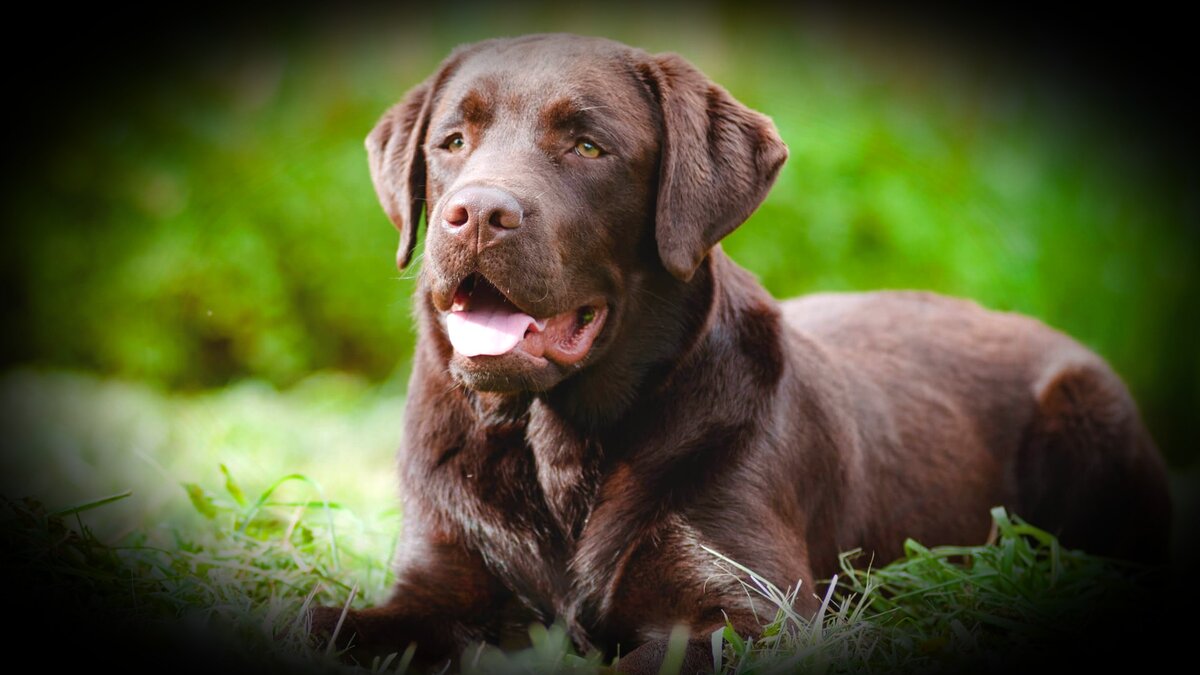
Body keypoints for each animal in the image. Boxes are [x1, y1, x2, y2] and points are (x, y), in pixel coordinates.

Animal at [304, 35, 1166, 667]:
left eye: (588, 147)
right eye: (452, 141)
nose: (474, 212)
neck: (558, 447)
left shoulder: (754, 609)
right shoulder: (433, 578)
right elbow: (330, 621)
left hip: (1088, 420)